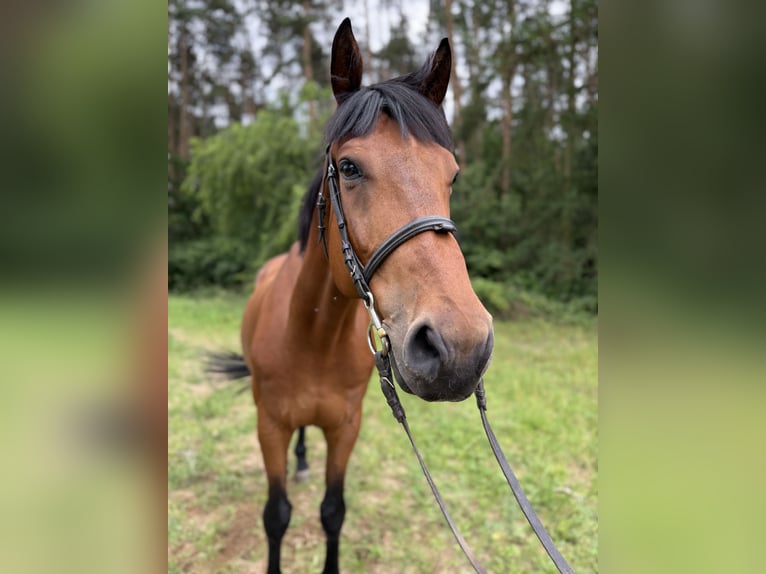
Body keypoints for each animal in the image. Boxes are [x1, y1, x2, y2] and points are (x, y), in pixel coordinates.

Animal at [212, 18, 494, 574]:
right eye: (348, 168)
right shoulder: (268, 426)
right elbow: (277, 515)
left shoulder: (346, 426)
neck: (313, 337)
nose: (460, 348)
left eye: (451, 174)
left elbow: (332, 511)